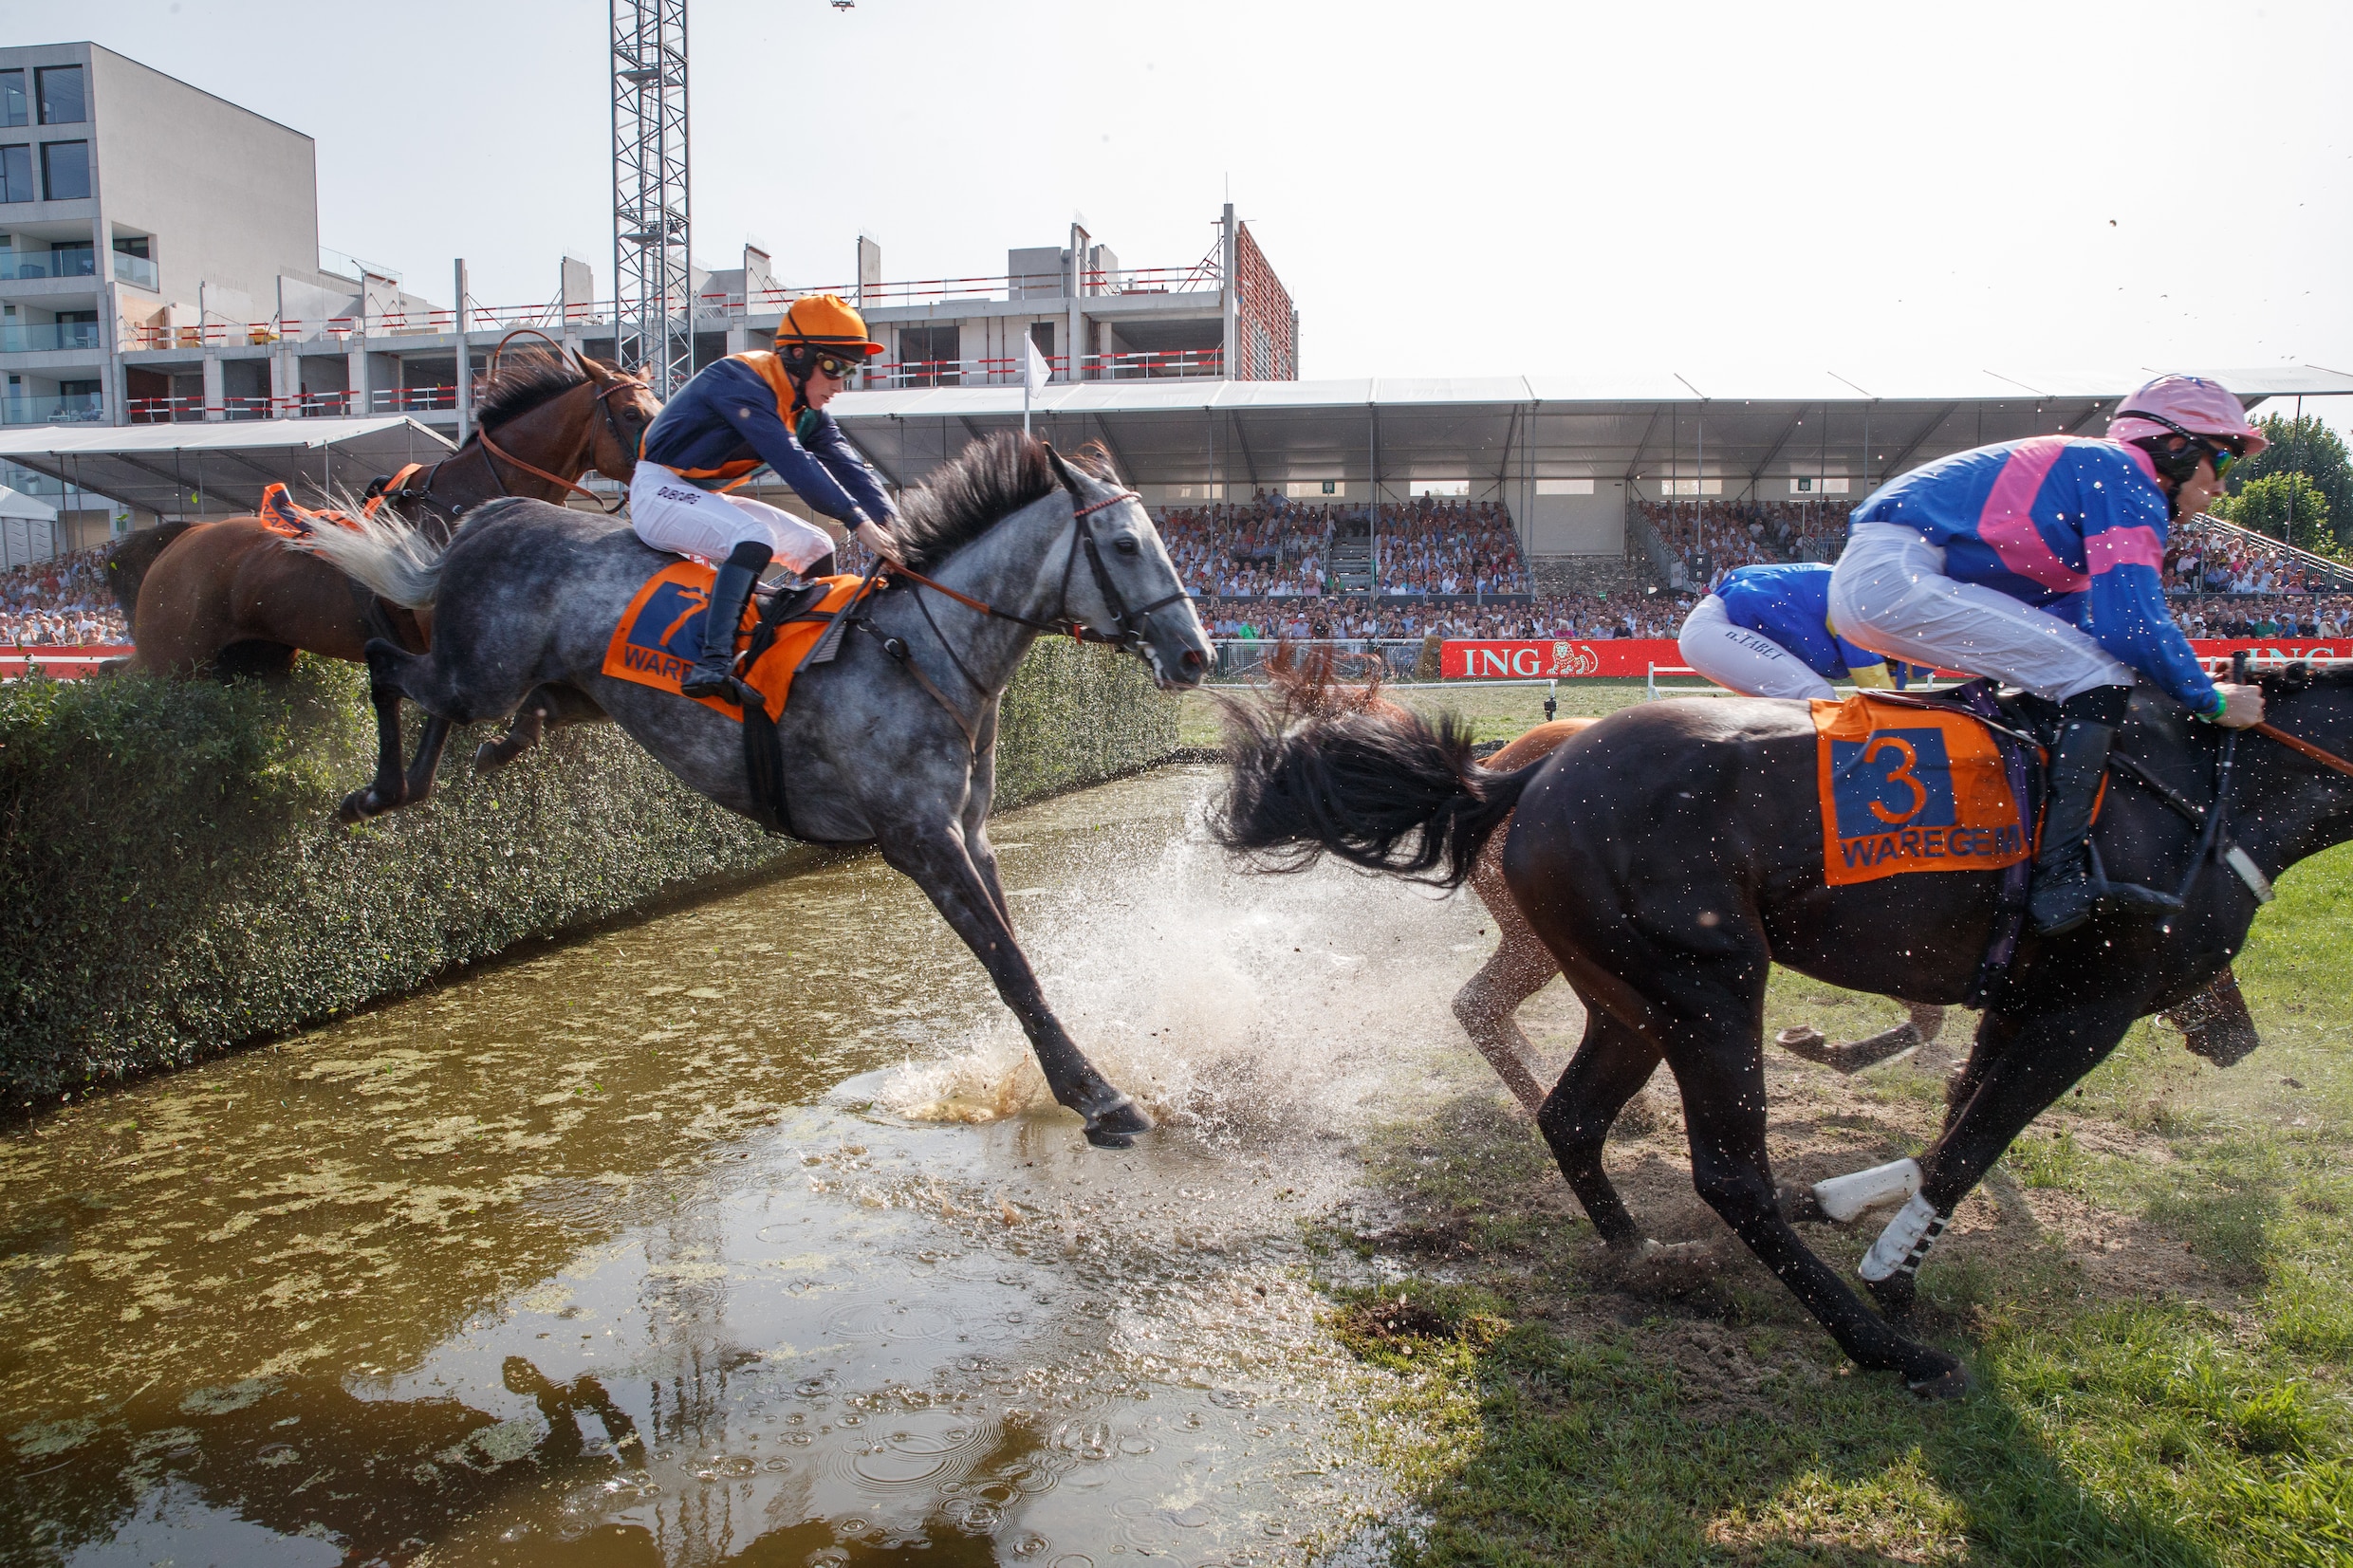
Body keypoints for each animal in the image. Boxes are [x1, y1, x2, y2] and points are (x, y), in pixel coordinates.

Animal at [289, 434, 1214, 1147]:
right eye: (1125, 545)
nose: (1196, 652)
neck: (921, 648)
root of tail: (496, 512)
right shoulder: (920, 840)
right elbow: (1008, 964)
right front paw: (1100, 1096)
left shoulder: (972, 833)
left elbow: (1017, 959)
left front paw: (1061, 1075)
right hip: (478, 669)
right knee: (385, 661)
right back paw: (375, 788)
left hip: (558, 684)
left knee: (482, 703)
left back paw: (471, 758)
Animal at [1214, 676, 2353, 1401]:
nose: (2241, 1039)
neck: (2205, 783)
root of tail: (1515, 778)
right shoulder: (2085, 1009)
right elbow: (1973, 1140)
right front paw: (1887, 1265)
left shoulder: (2022, 999)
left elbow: (1956, 1122)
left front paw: (1879, 1220)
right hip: (1708, 986)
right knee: (1726, 1173)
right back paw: (1882, 1350)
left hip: (1626, 995)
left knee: (1572, 1115)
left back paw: (1643, 1255)